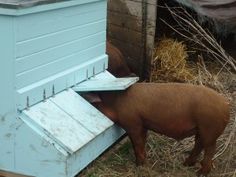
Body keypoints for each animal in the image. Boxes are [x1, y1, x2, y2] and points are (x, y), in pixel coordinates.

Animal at [87, 83, 230, 176]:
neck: (114, 103)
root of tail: (225, 105)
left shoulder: (133, 123)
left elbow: (137, 144)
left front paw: (140, 165)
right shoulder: (143, 124)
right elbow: (141, 142)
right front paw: (141, 162)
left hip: (209, 129)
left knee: (210, 150)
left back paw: (200, 173)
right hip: (200, 129)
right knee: (198, 145)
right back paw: (186, 164)